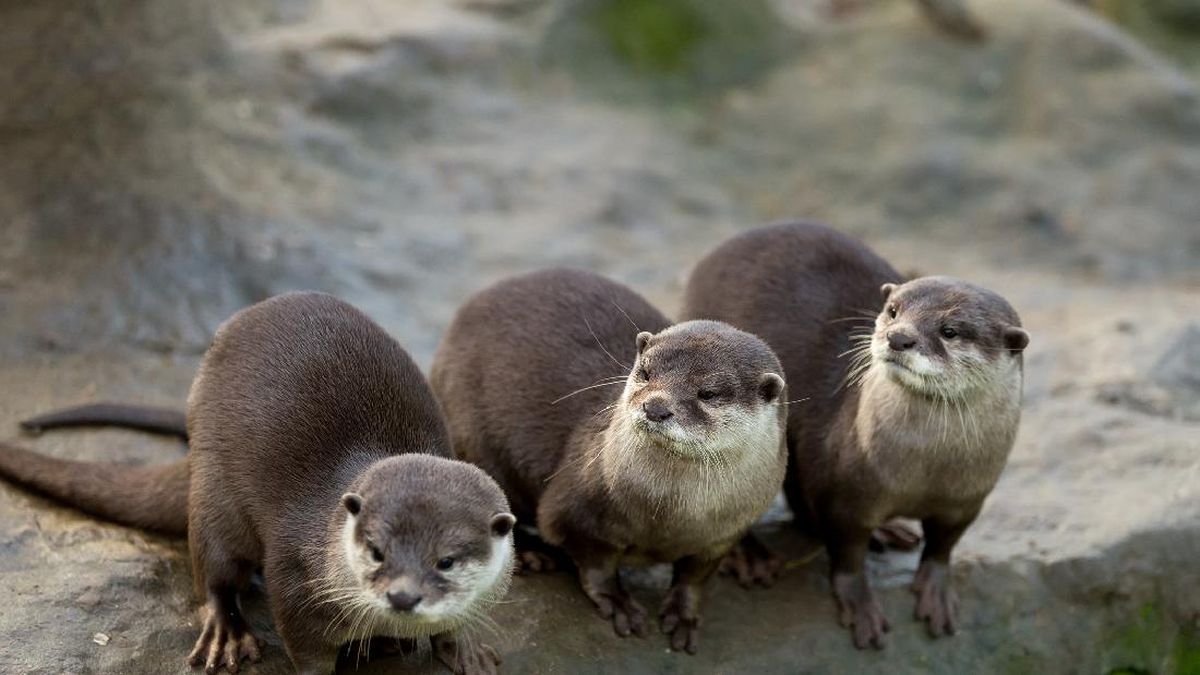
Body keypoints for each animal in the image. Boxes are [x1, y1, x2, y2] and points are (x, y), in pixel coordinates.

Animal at [0, 291, 516, 667]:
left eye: (446, 561)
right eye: (376, 552)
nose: (403, 596)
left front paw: (465, 649)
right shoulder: (296, 584)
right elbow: (306, 653)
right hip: (214, 492)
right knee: (211, 569)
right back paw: (226, 632)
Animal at [429, 267, 787, 653]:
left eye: (707, 393)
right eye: (645, 373)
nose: (655, 407)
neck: (670, 516)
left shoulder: (724, 533)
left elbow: (695, 577)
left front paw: (684, 613)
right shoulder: (576, 510)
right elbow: (594, 562)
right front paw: (618, 602)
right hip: (472, 436)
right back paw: (530, 553)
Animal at [681, 224, 1027, 648]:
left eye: (950, 331)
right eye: (893, 310)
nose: (898, 337)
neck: (926, 470)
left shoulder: (968, 499)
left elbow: (944, 545)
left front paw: (937, 590)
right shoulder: (846, 492)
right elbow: (847, 551)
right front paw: (860, 606)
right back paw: (751, 557)